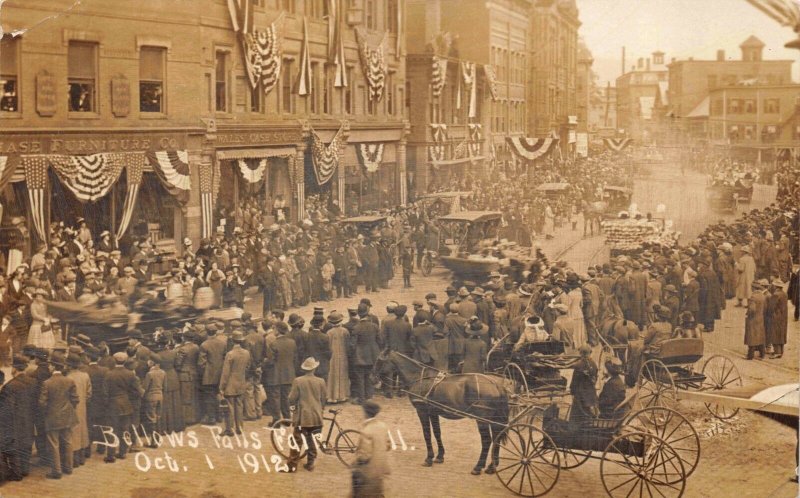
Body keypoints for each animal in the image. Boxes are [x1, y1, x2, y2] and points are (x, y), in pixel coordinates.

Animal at [374, 350, 510, 474]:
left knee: (487, 440)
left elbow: (427, 434)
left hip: (482, 419)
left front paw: (429, 458)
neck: (419, 377)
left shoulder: (422, 411)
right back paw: (492, 466)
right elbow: (437, 433)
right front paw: (439, 456)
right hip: (494, 419)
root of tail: (496, 384)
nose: (373, 379)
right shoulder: (433, 412)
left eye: (379, 361)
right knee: (496, 437)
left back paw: (478, 467)